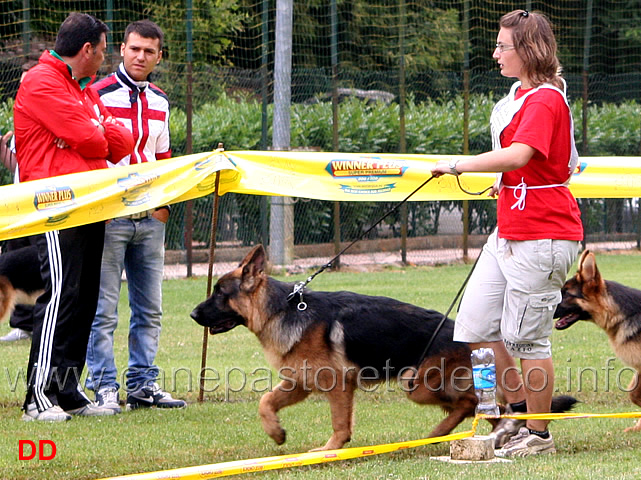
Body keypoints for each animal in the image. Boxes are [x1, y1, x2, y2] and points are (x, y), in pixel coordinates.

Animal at [192, 246, 576, 452]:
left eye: (220, 293)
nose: (194, 314)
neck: (281, 310)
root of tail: (465, 333)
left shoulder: (337, 386)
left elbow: (339, 424)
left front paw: (330, 450)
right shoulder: (299, 383)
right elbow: (265, 402)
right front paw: (276, 432)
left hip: (417, 385)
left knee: (472, 404)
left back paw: (441, 434)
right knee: (485, 408)